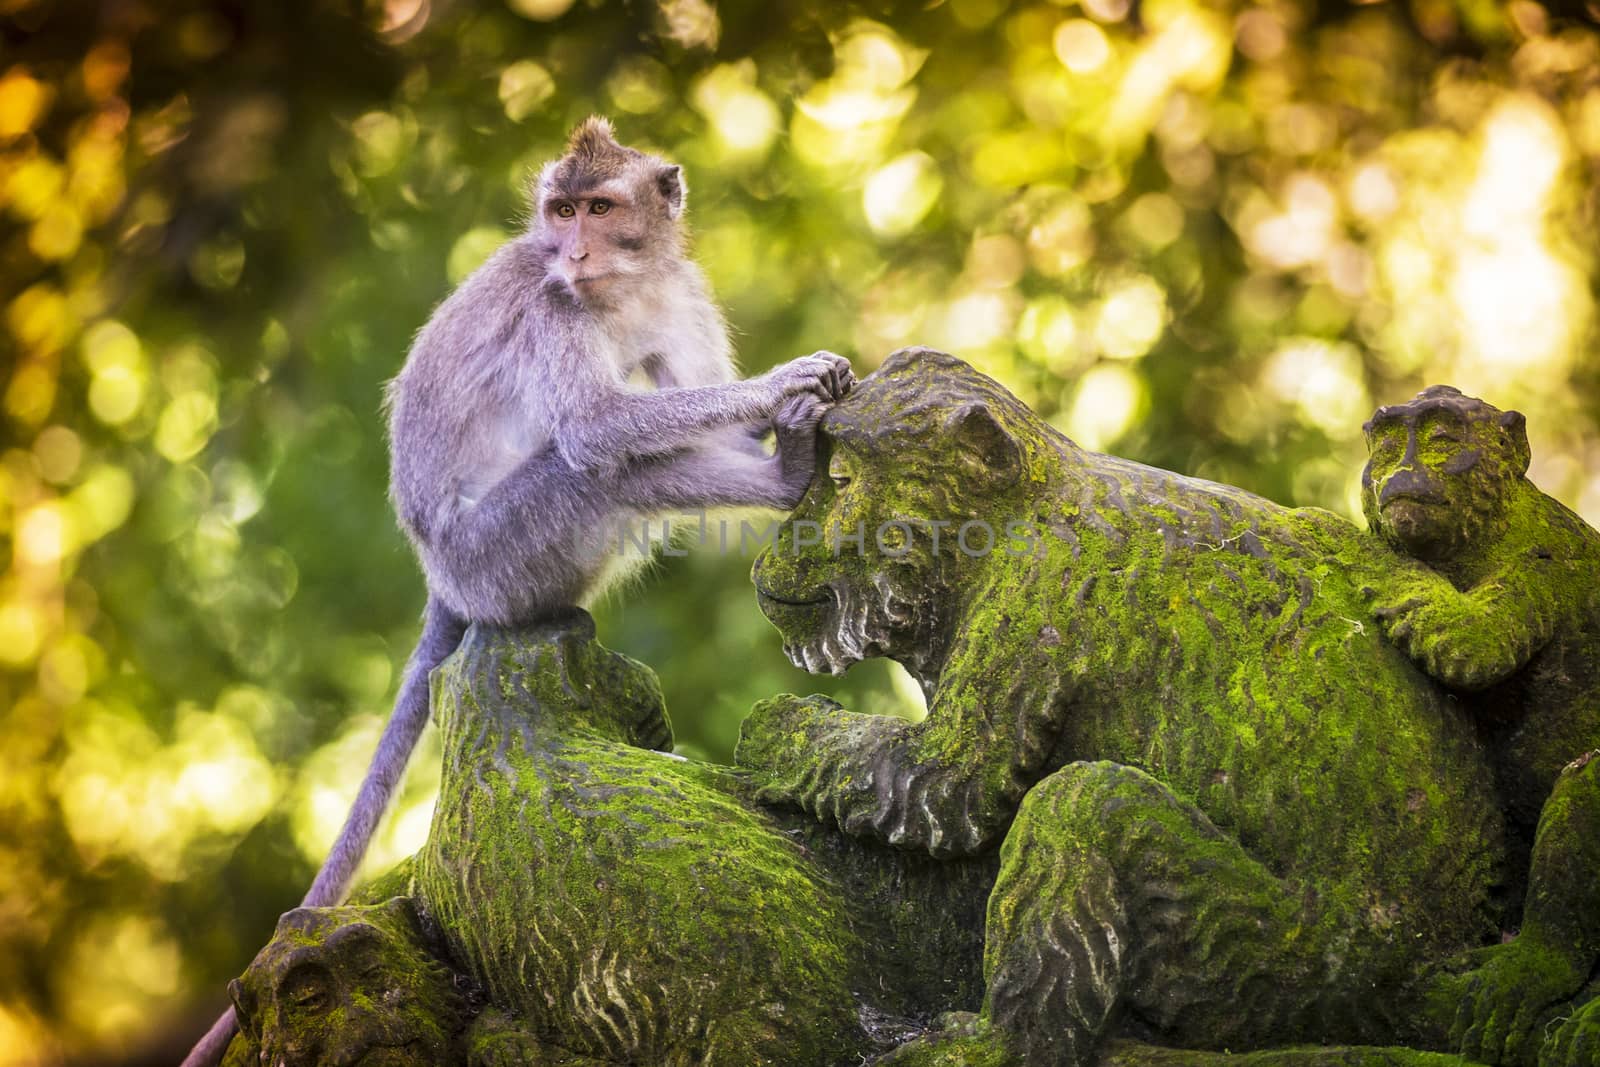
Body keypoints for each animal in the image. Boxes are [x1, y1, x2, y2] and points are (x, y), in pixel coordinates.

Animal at [181, 116, 857, 1067]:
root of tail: (440, 579)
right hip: (500, 555)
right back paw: (788, 474)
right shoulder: (551, 309)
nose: (571, 248)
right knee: (599, 470)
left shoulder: (680, 293)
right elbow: (599, 429)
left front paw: (776, 414)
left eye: (599, 208)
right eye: (561, 211)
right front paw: (781, 388)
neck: (621, 290)